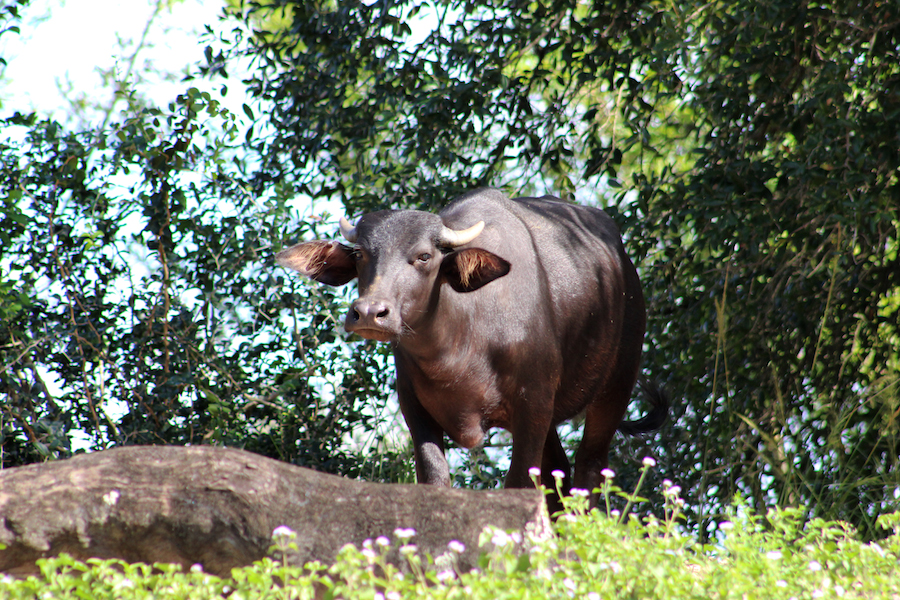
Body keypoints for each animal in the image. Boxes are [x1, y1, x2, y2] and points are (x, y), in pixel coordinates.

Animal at [276, 189, 668, 506]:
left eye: (423, 256)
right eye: (359, 254)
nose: (370, 312)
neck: (457, 352)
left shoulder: (534, 403)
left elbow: (519, 483)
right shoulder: (414, 407)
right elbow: (434, 479)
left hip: (616, 384)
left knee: (590, 465)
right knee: (559, 468)